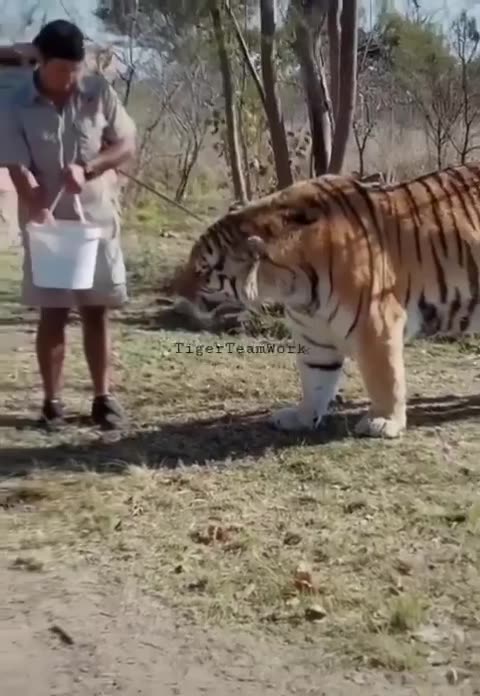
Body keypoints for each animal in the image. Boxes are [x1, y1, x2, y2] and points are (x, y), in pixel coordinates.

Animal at [172, 162, 480, 439]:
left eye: (202, 270)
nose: (176, 294)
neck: (292, 288)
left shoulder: (376, 324)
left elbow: (385, 376)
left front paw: (383, 421)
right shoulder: (314, 335)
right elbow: (315, 379)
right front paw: (302, 417)